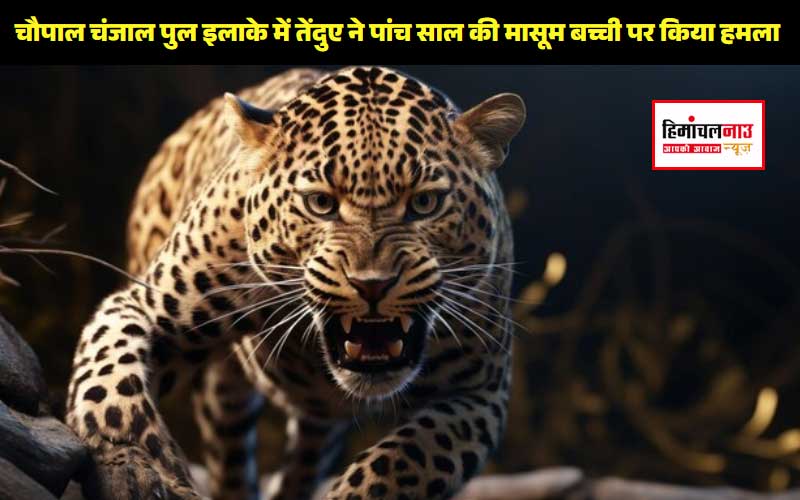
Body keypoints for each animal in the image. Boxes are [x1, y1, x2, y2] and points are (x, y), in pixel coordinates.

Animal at [65, 66, 525, 500]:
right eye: (320, 203)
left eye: (425, 202)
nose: (372, 285)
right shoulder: (145, 304)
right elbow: (109, 363)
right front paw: (134, 443)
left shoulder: (480, 394)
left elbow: (405, 458)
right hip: (223, 395)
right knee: (231, 460)